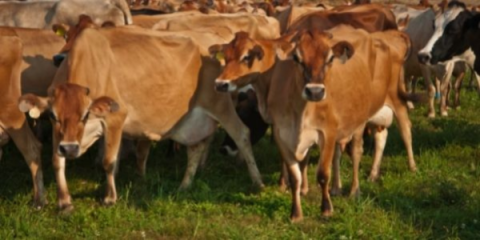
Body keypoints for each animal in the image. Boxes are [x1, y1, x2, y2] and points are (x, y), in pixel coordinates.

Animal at [210, 24, 416, 221]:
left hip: (383, 106)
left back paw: (369, 184)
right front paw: (296, 200)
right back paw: (345, 184)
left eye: (246, 57)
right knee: (356, 147)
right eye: (226, 56)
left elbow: (322, 173)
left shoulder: (327, 132)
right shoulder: (283, 132)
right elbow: (297, 168)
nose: (220, 83)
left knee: (385, 139)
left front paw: (324, 208)